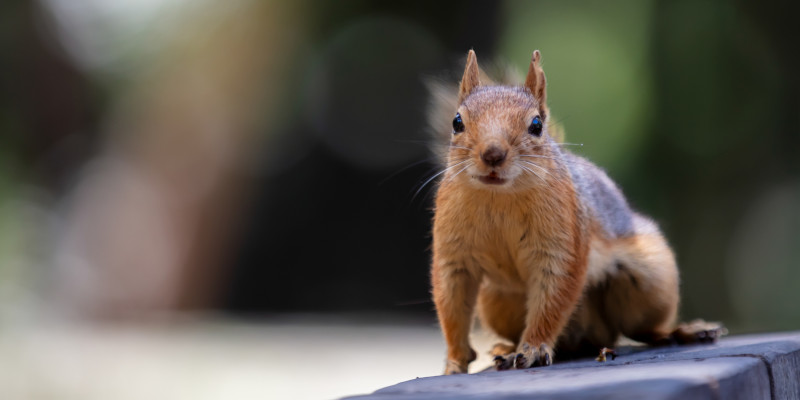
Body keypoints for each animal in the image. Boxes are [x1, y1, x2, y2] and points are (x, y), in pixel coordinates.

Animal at [428, 50, 725, 375]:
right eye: (457, 122)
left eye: (536, 125)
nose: (492, 154)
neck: (499, 198)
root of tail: (588, 336)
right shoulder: (454, 253)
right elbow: (452, 302)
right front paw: (455, 361)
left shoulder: (564, 241)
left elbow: (554, 297)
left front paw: (533, 349)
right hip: (497, 301)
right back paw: (505, 348)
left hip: (650, 282)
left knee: (641, 329)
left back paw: (685, 330)